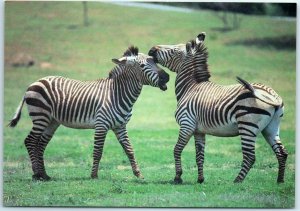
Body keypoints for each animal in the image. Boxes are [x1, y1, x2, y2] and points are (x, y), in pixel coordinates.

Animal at [8, 46, 169, 181]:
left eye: (155, 62)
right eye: (142, 66)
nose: (167, 77)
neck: (116, 93)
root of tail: (34, 83)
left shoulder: (120, 126)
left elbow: (129, 149)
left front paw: (138, 174)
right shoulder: (101, 125)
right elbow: (98, 151)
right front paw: (94, 175)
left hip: (52, 121)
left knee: (40, 144)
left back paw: (44, 175)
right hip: (40, 116)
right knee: (30, 141)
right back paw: (36, 174)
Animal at [149, 32, 288, 183]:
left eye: (174, 50)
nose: (151, 49)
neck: (190, 87)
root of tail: (273, 95)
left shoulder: (187, 124)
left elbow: (177, 149)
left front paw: (178, 177)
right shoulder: (199, 131)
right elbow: (199, 155)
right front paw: (200, 179)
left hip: (247, 126)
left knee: (250, 156)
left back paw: (237, 181)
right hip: (271, 127)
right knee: (282, 153)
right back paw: (280, 180)